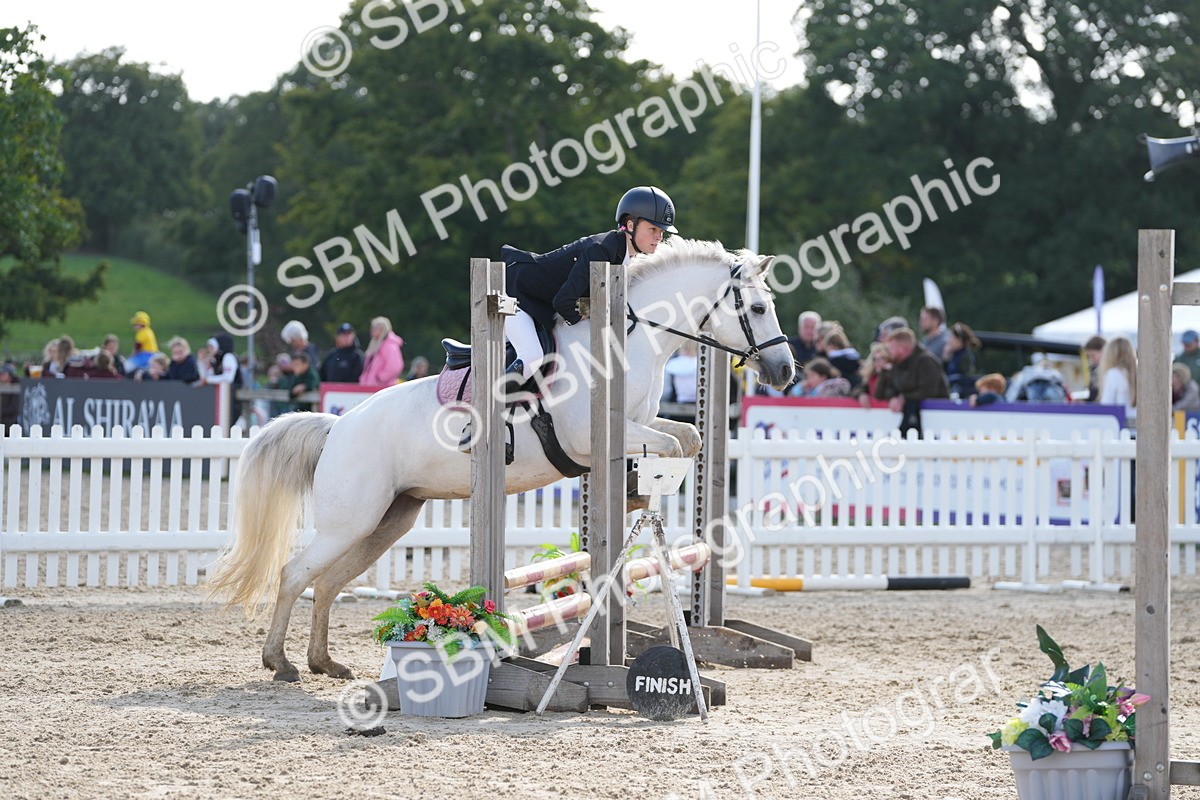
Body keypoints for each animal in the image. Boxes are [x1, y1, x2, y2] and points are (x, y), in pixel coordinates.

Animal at [208, 239, 796, 682]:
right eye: (758, 308)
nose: (785, 372)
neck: (628, 340)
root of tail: (337, 427)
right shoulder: (589, 437)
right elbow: (668, 447)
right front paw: (634, 489)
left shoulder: (645, 425)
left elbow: (687, 438)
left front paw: (636, 487)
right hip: (350, 518)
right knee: (294, 574)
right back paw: (280, 663)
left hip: (388, 519)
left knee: (328, 582)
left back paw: (323, 663)